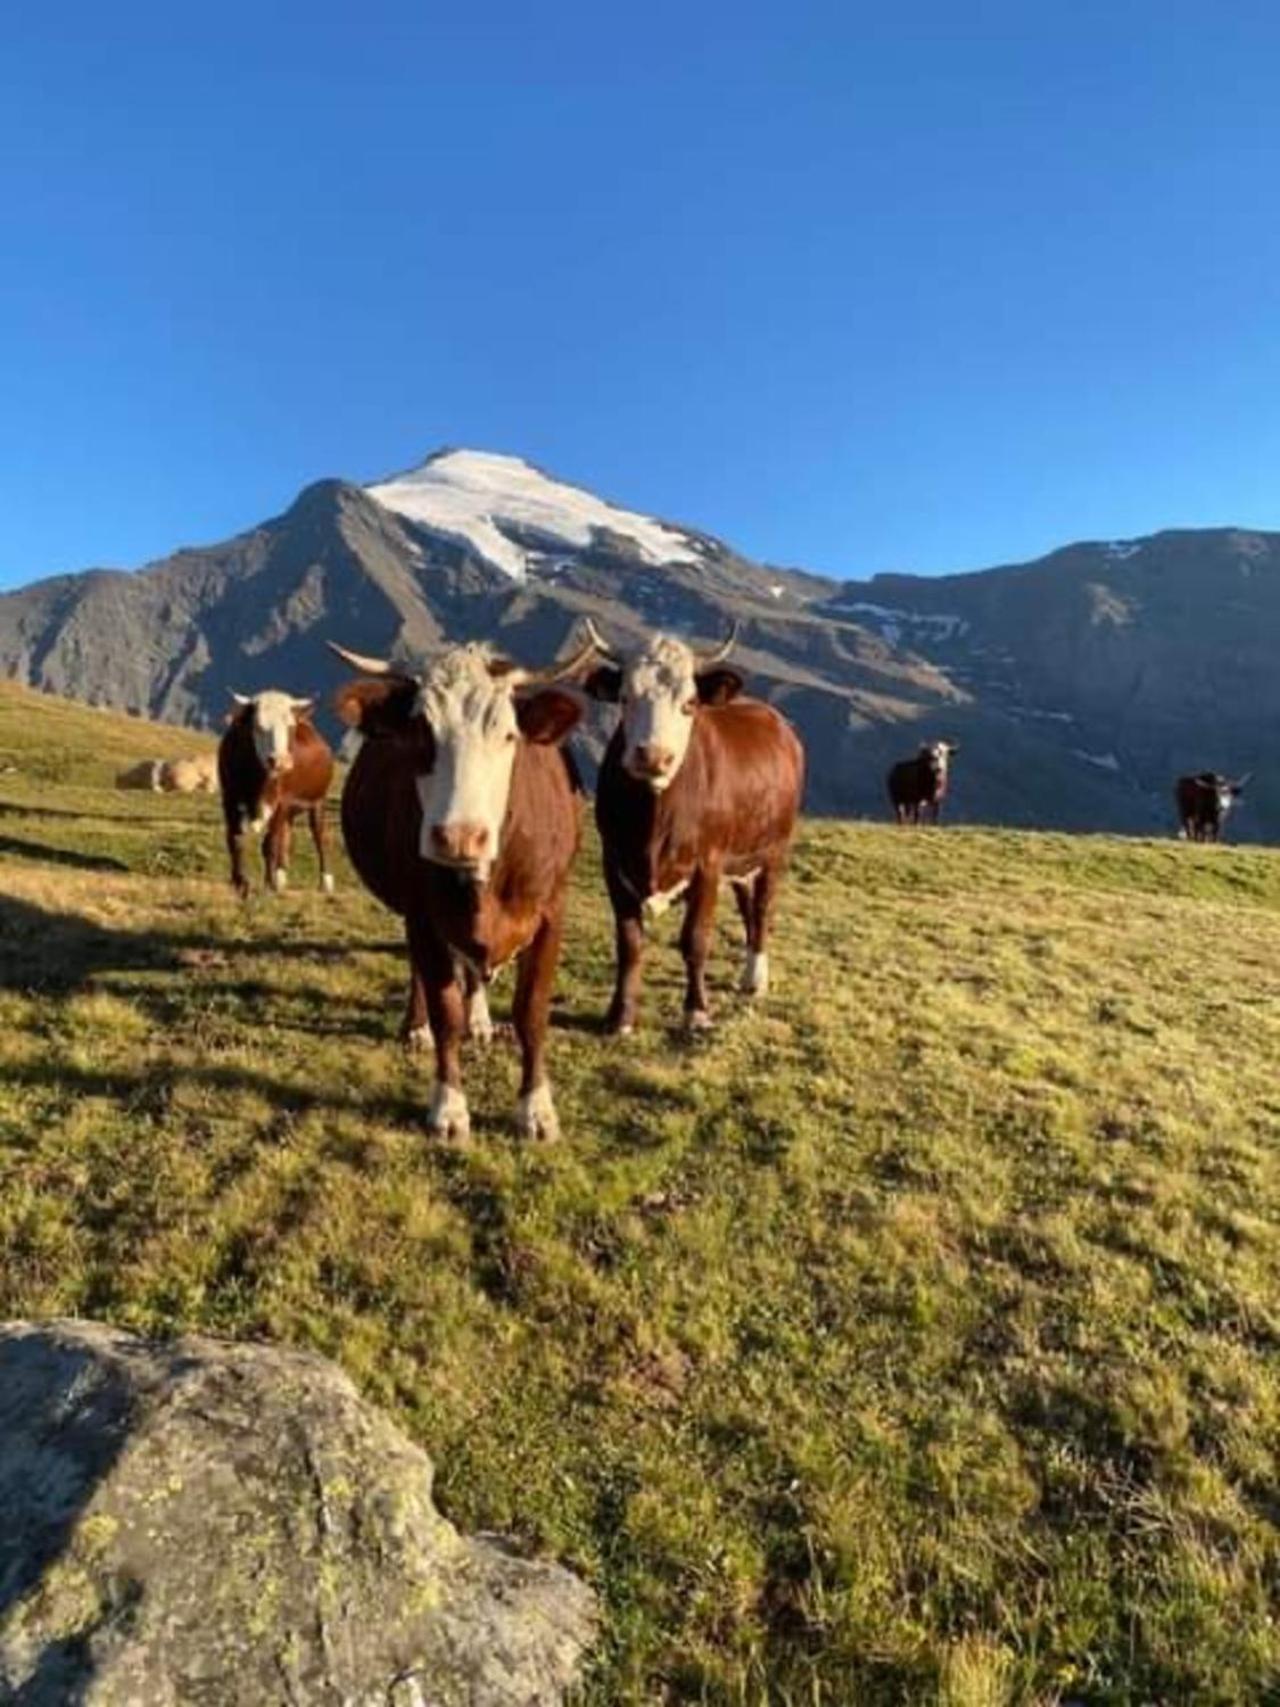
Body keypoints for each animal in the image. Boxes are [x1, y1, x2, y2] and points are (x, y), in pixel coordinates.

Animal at [218, 686, 336, 901]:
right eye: (258, 725)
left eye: (290, 727)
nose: (280, 761)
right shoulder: (229, 797)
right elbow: (235, 839)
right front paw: (240, 883)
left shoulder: (281, 802)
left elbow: (270, 844)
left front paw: (268, 886)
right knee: (287, 834)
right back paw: (281, 876)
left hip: (318, 801)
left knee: (319, 835)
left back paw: (325, 881)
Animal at [325, 621, 597, 1140]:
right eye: (420, 733)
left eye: (509, 734)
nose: (459, 837)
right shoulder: (422, 915)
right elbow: (444, 1008)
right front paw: (449, 1108)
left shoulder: (552, 912)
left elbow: (532, 1011)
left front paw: (536, 1109)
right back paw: (416, 1027)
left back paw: (482, 1021)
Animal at [587, 621, 805, 1031]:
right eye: (625, 698)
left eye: (689, 703)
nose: (653, 756)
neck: (653, 824)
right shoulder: (614, 862)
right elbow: (630, 942)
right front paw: (620, 1015)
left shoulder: (708, 864)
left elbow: (696, 939)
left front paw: (697, 1010)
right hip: (742, 860)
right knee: (748, 906)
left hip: (775, 850)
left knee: (763, 908)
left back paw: (755, 978)